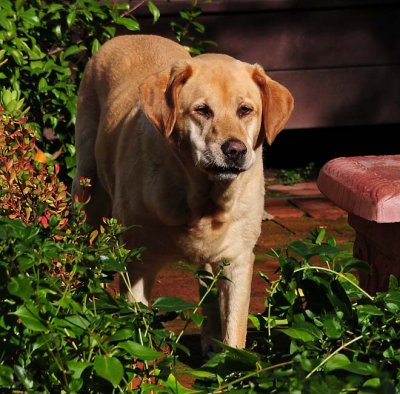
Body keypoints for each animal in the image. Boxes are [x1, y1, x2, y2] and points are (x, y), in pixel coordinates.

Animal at [72, 34, 292, 354]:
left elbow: (234, 334)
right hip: (88, 192)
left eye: (245, 110)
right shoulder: (137, 263)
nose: (235, 150)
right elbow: (136, 329)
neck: (201, 200)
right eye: (202, 110)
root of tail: (130, 35)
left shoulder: (238, 261)